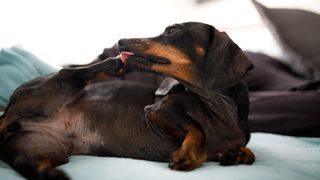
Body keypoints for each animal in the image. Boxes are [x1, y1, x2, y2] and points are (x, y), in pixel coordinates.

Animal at [0, 21, 255, 179]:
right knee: (67, 74)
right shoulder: (160, 109)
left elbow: (250, 155)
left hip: (46, 147)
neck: (218, 108)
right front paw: (190, 154)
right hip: (49, 90)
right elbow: (197, 128)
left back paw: (48, 174)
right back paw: (111, 64)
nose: (121, 41)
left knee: (26, 163)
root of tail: (9, 117)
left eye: (172, 30)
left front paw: (237, 154)